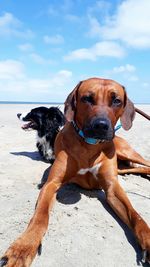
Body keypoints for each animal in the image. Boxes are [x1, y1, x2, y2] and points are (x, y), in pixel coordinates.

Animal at [0, 77, 150, 266]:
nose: (101, 126)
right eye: (87, 98)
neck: (89, 146)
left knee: (146, 163)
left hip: (126, 152)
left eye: (116, 100)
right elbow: (40, 217)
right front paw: (22, 248)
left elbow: (136, 216)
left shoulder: (112, 188)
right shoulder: (51, 183)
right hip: (124, 166)